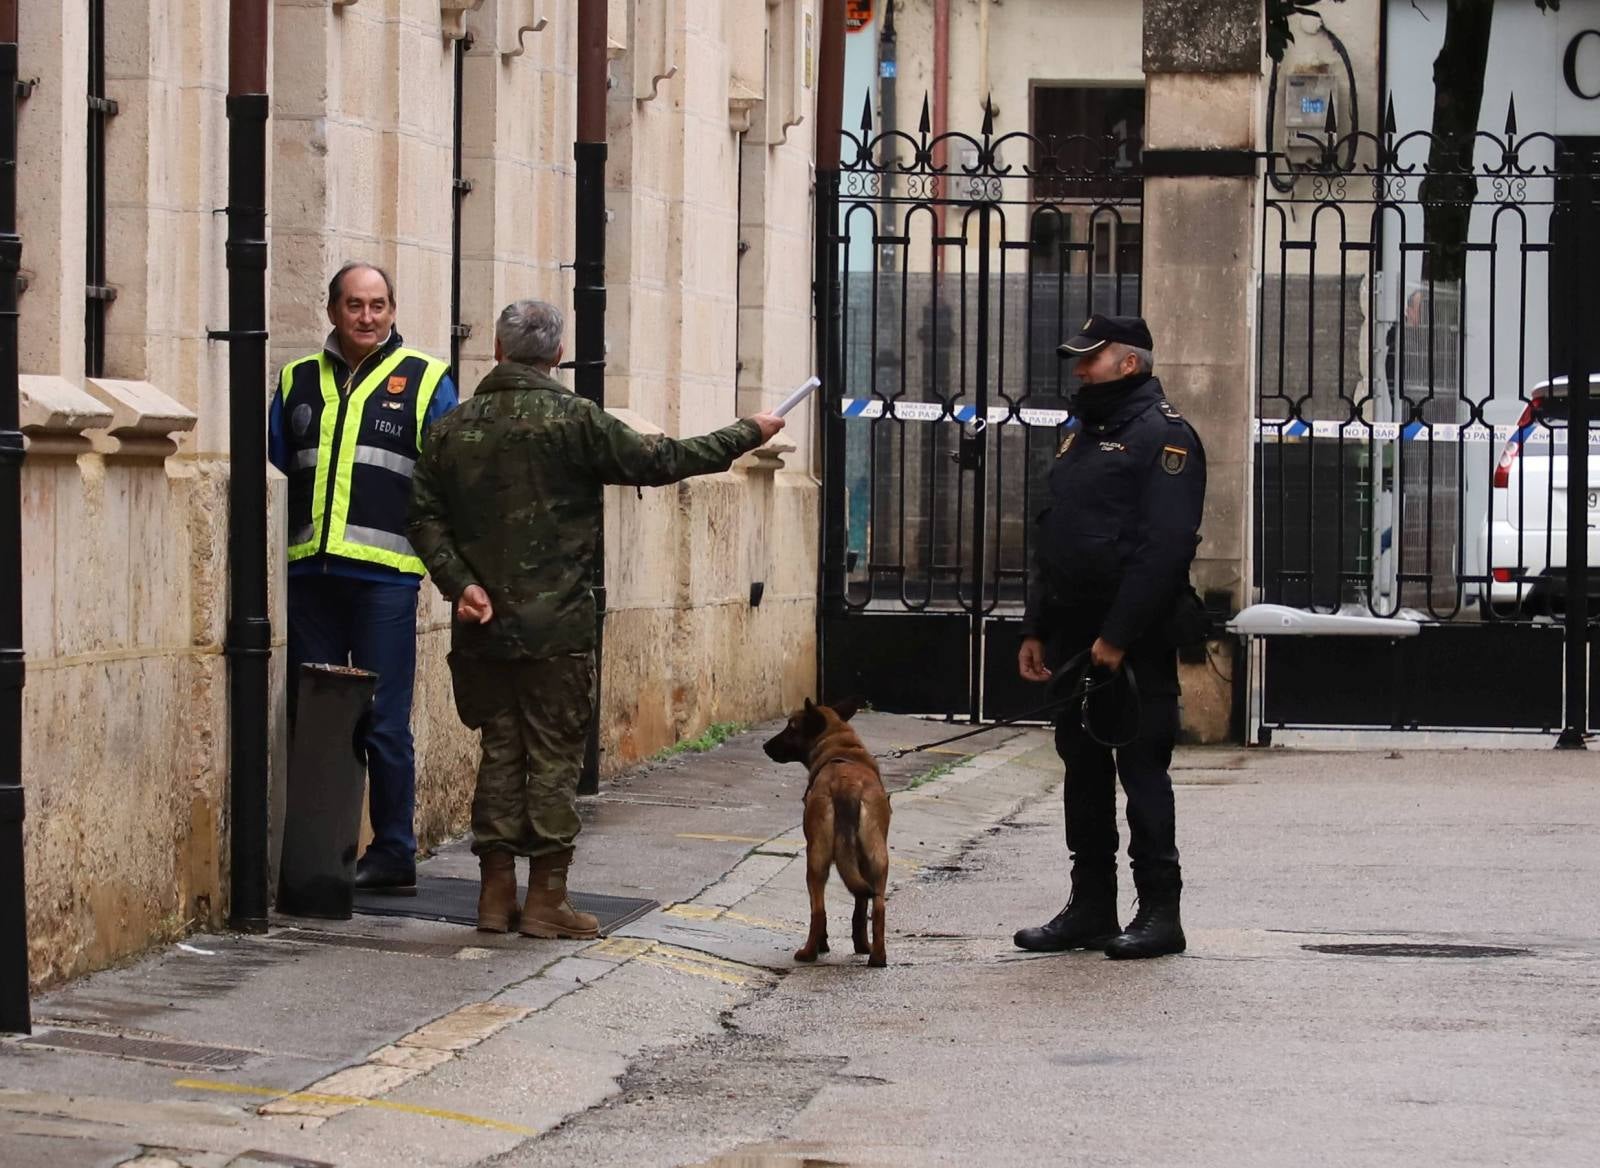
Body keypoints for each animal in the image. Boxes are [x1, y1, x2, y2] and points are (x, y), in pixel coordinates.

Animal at [758, 691, 889, 966]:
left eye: (791, 727)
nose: (765, 746)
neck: (840, 745)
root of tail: (847, 785)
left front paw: (824, 944)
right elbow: (860, 908)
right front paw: (861, 945)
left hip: (815, 859)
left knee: (817, 909)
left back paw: (809, 952)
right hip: (877, 858)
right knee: (878, 906)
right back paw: (877, 956)